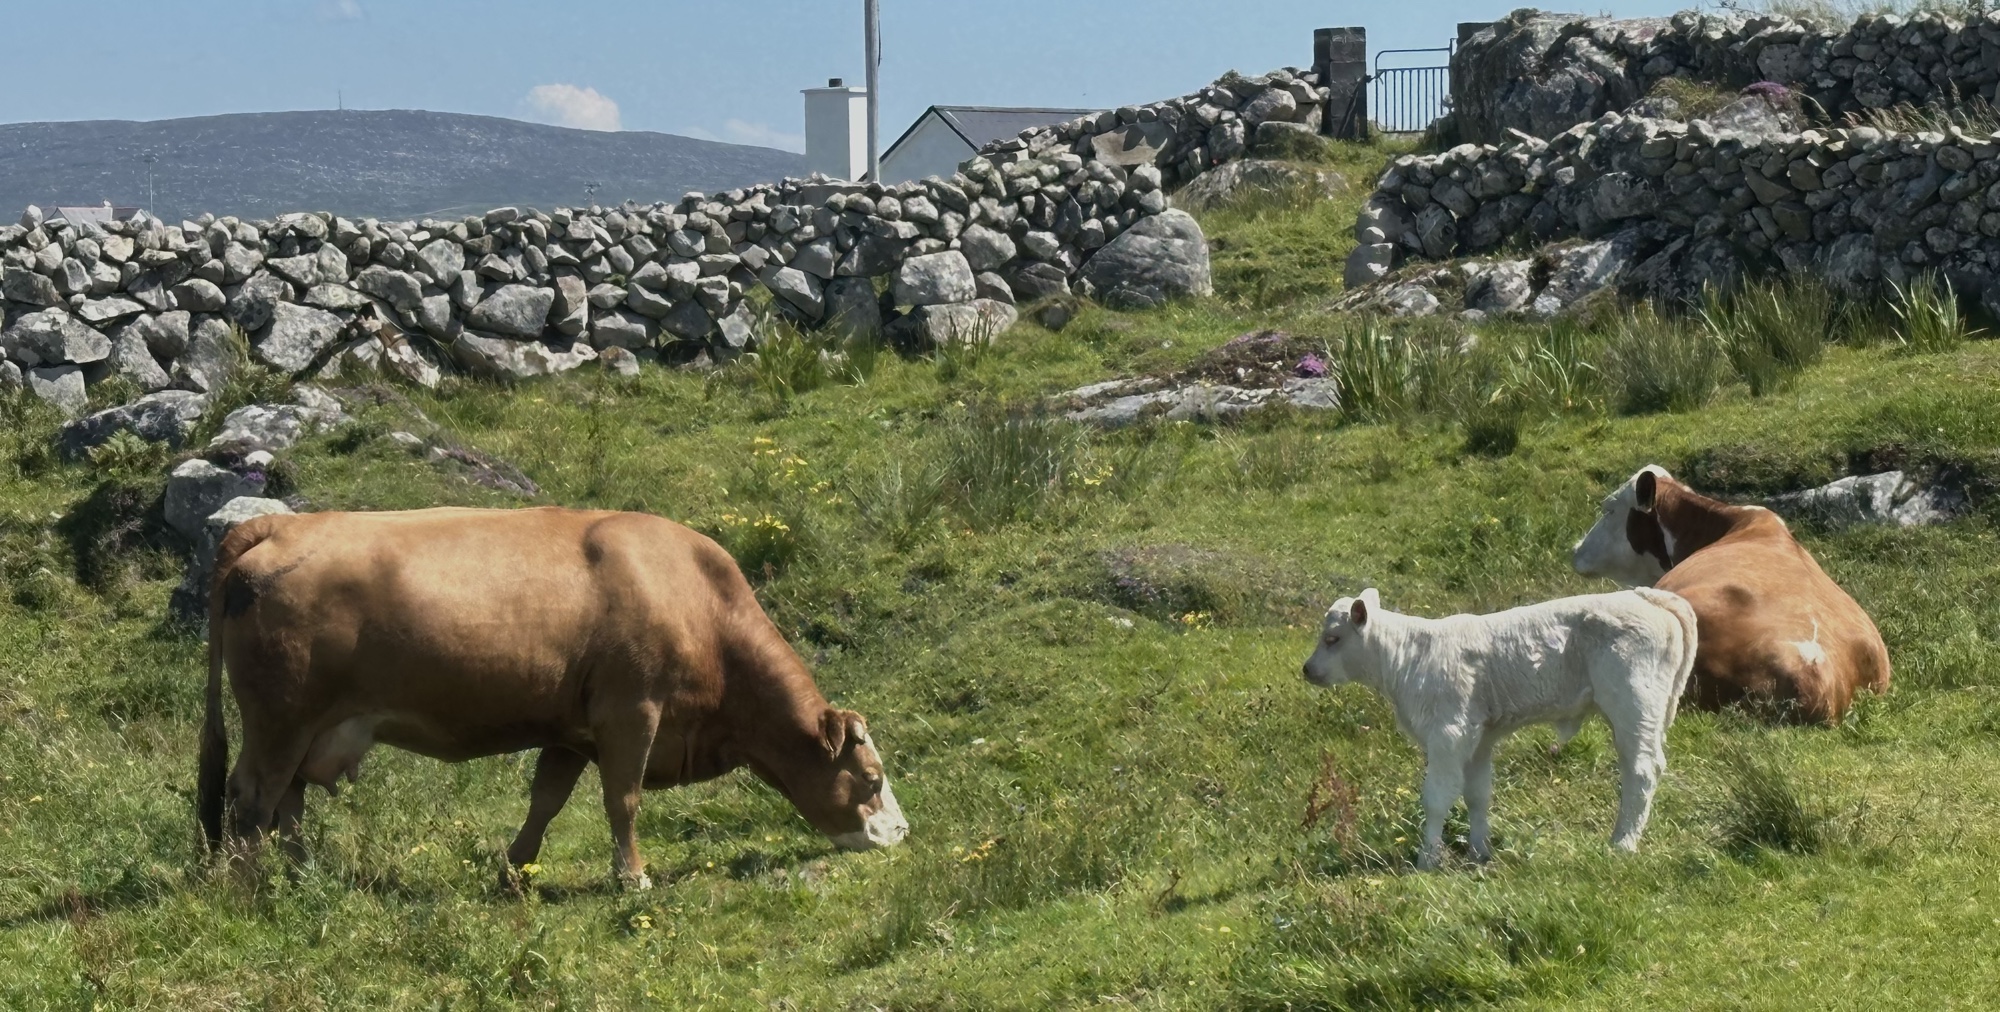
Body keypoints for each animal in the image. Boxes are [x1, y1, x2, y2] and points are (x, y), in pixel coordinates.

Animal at [198, 506, 909, 889]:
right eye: (871, 779)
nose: (903, 832)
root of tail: (277, 523)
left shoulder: (572, 731)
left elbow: (547, 800)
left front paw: (514, 871)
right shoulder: (631, 711)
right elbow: (623, 800)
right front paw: (633, 877)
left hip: (307, 728)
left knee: (287, 801)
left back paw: (304, 876)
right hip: (280, 720)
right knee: (252, 797)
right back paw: (247, 888)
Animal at [1301, 586, 1698, 870]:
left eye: (1332, 638)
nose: (1307, 669)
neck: (1412, 657)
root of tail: (1647, 595)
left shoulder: (1448, 733)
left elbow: (1436, 798)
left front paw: (1427, 859)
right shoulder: (1478, 738)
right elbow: (1477, 794)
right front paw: (1479, 852)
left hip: (1633, 704)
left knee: (1642, 771)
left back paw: (1623, 844)